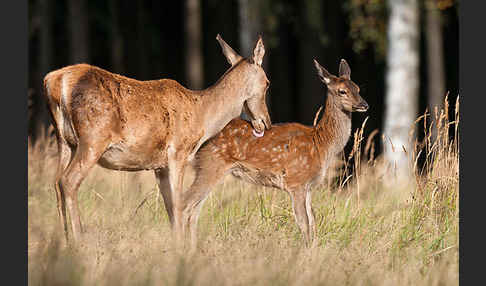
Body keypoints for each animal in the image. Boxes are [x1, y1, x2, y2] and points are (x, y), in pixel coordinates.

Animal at [43, 34, 272, 242]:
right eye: (268, 83)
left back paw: (63, 240)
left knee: (56, 182)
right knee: (69, 181)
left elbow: (170, 208)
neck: (202, 117)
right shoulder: (178, 153)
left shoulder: (159, 166)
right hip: (93, 137)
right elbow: (179, 206)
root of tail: (55, 82)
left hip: (65, 142)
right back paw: (78, 240)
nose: (266, 122)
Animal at [178, 58, 368, 246]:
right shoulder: (296, 181)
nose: (364, 105)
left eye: (358, 88)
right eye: (342, 91)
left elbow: (313, 221)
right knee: (185, 204)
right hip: (211, 164)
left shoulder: (308, 186)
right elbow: (304, 223)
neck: (322, 144)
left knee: (194, 210)